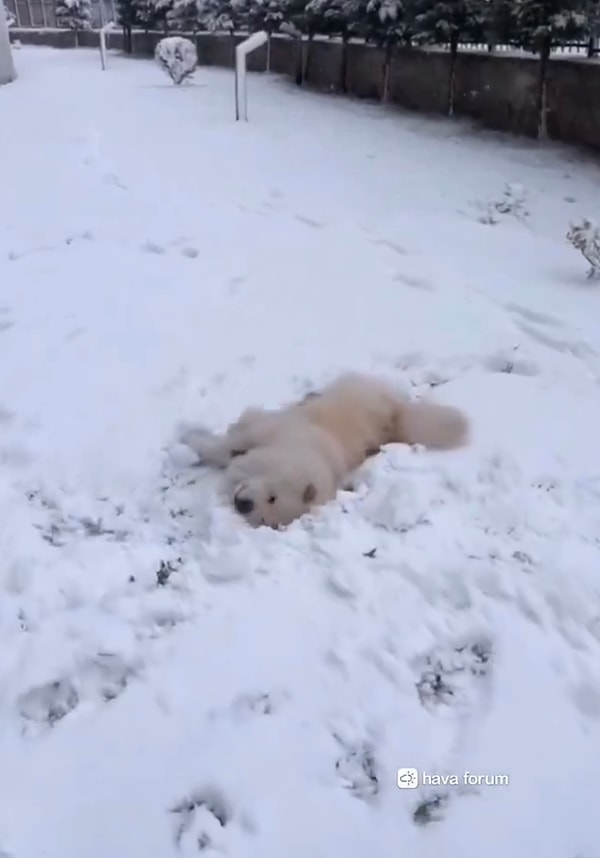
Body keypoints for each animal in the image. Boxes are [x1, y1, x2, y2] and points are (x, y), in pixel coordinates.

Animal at [178, 372, 468, 524]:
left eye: (271, 504)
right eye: (272, 496)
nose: (243, 505)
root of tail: (398, 411)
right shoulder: (268, 430)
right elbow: (231, 441)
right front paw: (192, 440)